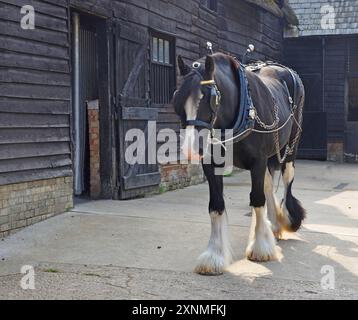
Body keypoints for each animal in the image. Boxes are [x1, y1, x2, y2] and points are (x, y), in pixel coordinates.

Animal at [172, 52, 306, 276]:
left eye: (210, 98)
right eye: (178, 97)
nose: (191, 150)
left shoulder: (258, 160)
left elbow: (257, 199)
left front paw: (260, 248)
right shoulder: (211, 164)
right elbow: (216, 204)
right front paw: (214, 256)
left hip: (290, 146)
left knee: (287, 179)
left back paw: (287, 220)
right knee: (268, 184)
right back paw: (273, 226)